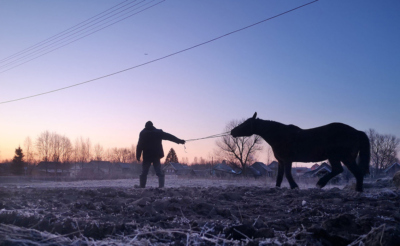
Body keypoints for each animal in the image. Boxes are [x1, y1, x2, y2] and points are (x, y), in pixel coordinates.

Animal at [231, 112, 372, 191]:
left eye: (245, 124)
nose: (232, 131)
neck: (279, 135)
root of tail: (357, 132)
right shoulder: (281, 161)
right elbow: (279, 176)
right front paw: (276, 188)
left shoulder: (287, 160)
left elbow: (288, 174)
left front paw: (295, 187)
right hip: (340, 158)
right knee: (345, 171)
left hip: (341, 157)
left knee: (347, 171)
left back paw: (323, 184)